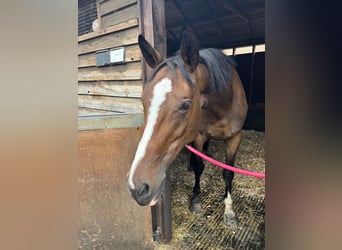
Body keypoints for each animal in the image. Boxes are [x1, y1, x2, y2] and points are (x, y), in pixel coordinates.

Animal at [127, 30, 247, 227]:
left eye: (186, 105)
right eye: (143, 100)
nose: (137, 187)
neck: (223, 102)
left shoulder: (235, 137)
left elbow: (228, 173)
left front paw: (229, 211)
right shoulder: (199, 135)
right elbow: (199, 166)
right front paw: (196, 199)